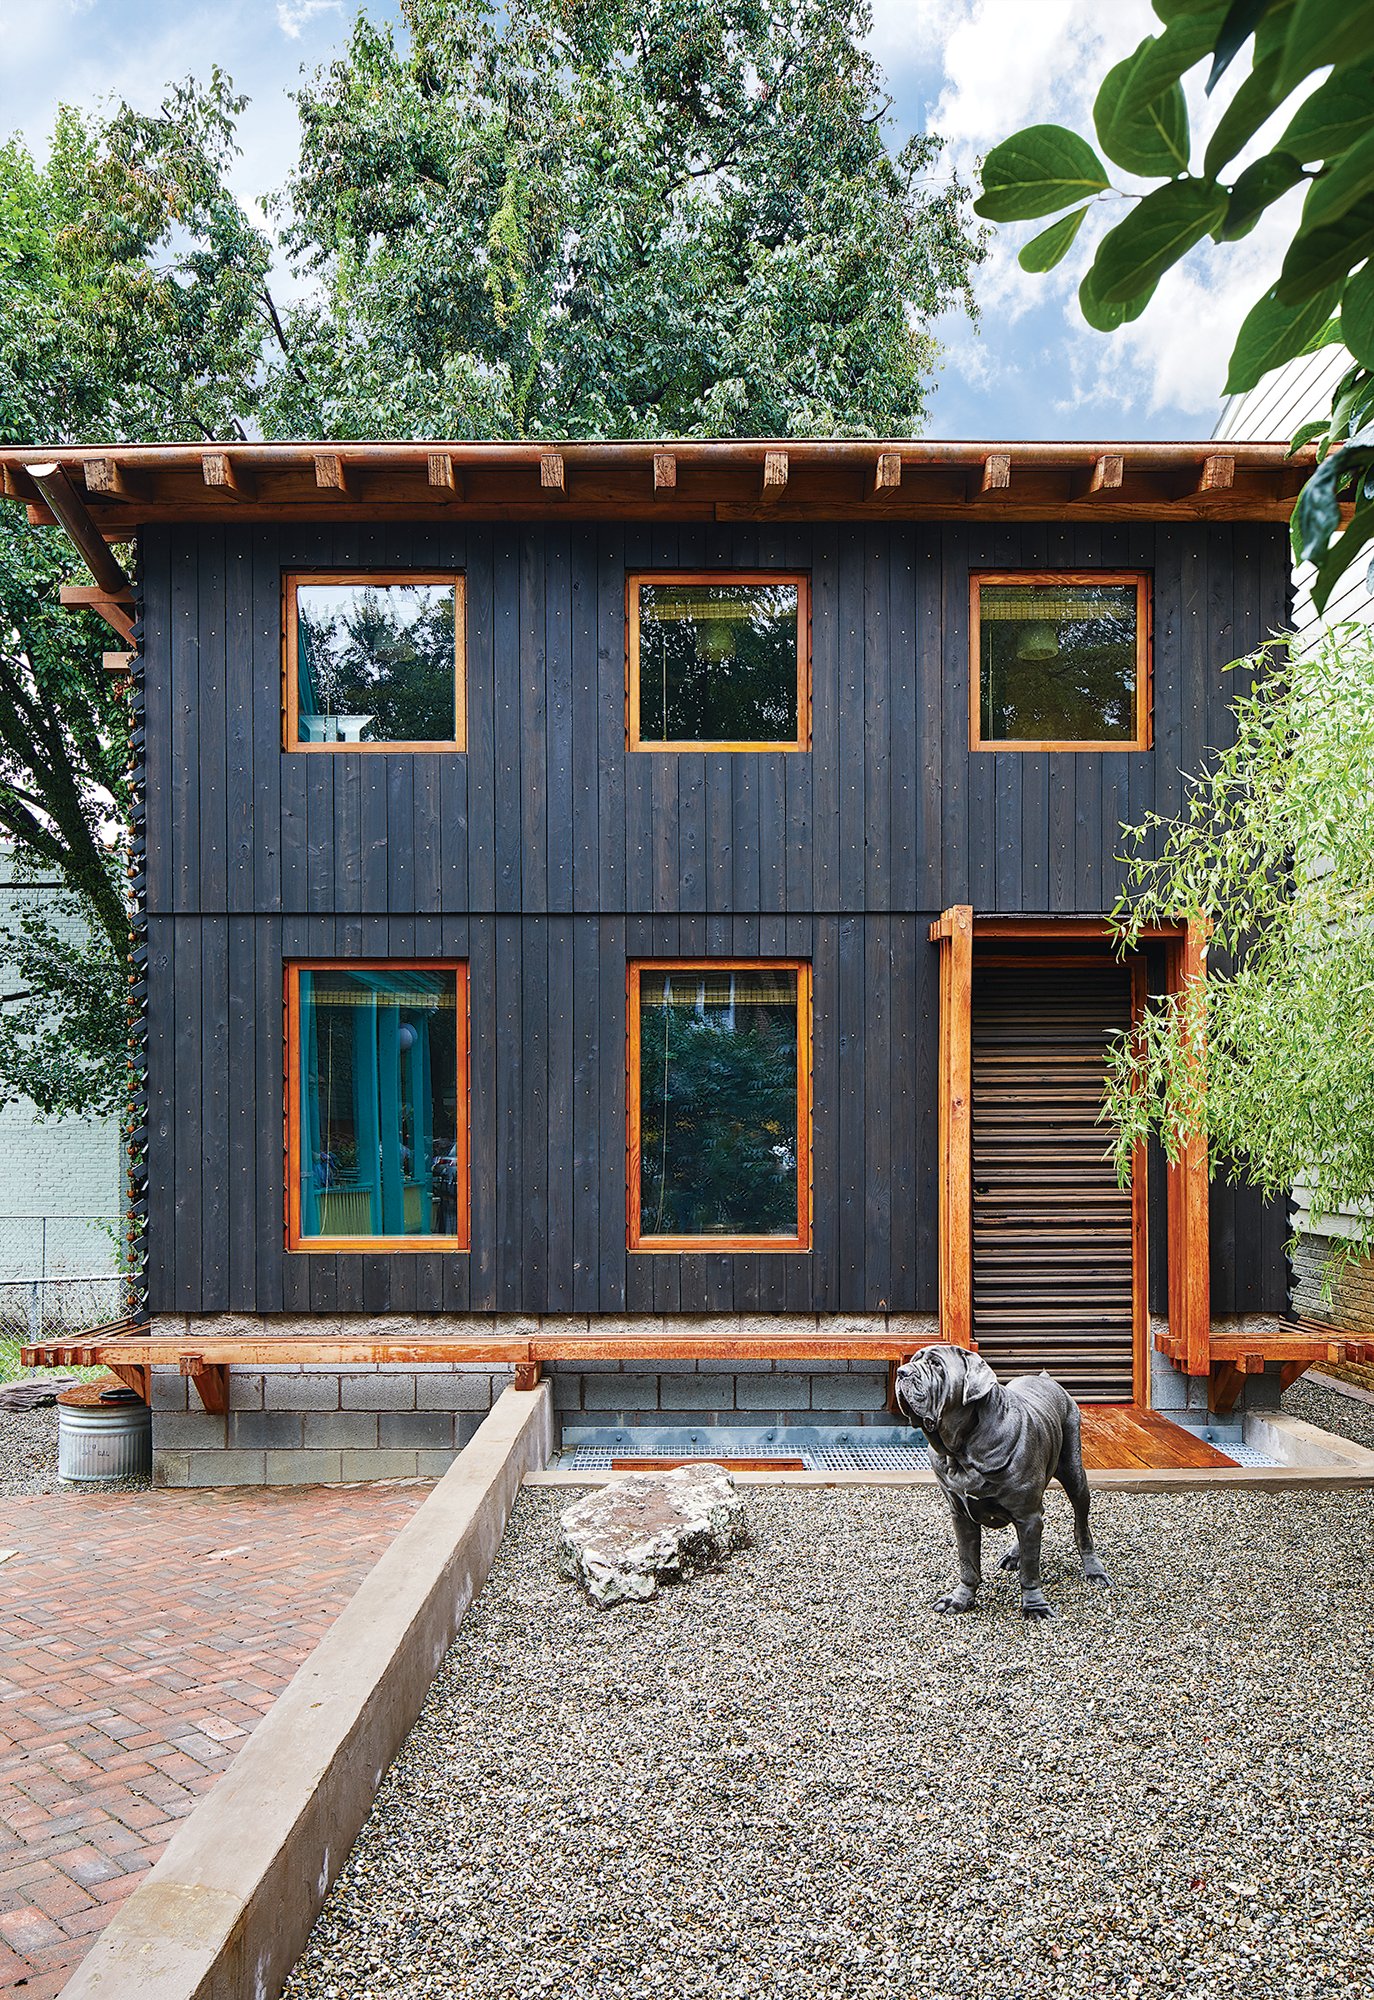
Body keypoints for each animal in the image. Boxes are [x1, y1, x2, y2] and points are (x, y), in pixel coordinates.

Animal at [896, 1352, 1112, 1616]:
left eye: (936, 1364)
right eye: (914, 1360)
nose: (902, 1372)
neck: (962, 1451)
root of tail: (1046, 1378)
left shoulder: (1026, 1513)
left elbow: (1030, 1570)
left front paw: (1035, 1606)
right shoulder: (961, 1514)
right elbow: (968, 1564)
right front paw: (959, 1600)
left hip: (1075, 1475)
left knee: (1081, 1526)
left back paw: (1094, 1569)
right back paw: (1013, 1554)